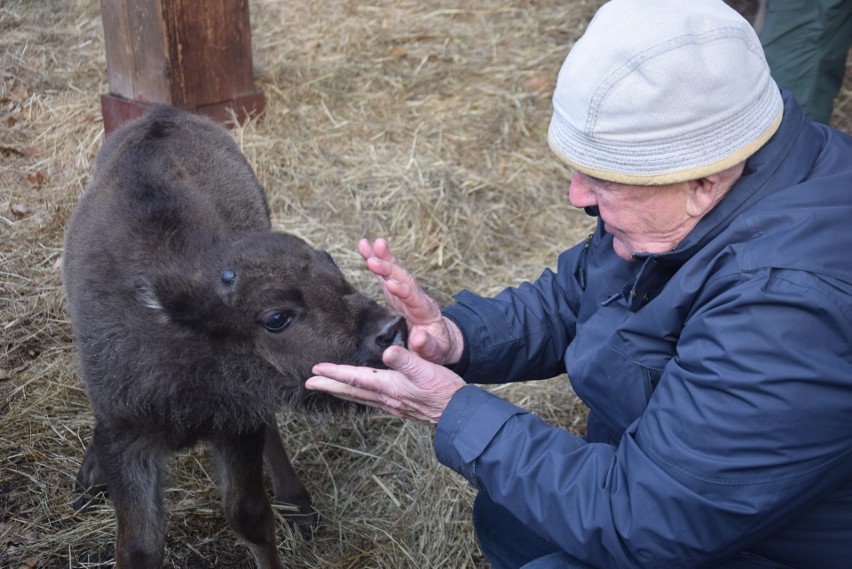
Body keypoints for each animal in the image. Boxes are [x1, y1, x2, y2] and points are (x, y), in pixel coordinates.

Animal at [63, 107, 406, 568]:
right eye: (276, 317)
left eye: (334, 273)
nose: (387, 329)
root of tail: (162, 114)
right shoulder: (128, 440)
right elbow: (139, 548)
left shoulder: (237, 426)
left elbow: (248, 515)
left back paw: (297, 502)